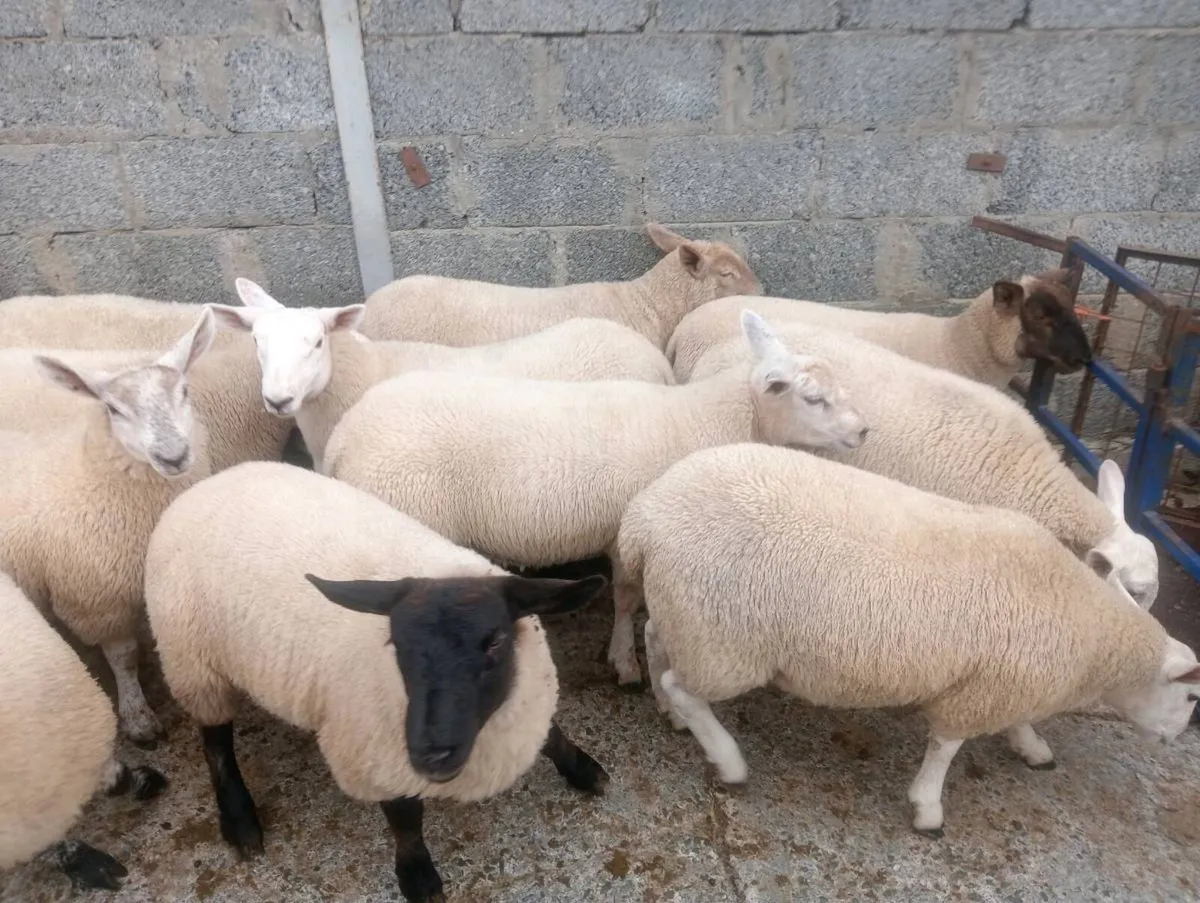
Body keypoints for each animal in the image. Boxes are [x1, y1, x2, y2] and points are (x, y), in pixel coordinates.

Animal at [0, 308, 216, 746]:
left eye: (184, 391)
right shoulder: (93, 599)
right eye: (114, 410)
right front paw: (138, 718)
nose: (173, 456)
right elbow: (124, 658)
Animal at [143, 461, 611, 903]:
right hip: (193, 662)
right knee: (215, 742)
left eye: (496, 640)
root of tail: (208, 484)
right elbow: (404, 820)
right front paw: (417, 876)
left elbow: (552, 735)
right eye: (395, 643)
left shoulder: (529, 701)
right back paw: (240, 821)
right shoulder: (374, 756)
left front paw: (583, 768)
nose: (431, 754)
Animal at [323, 310, 868, 684]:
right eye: (814, 398)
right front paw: (625, 662)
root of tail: (344, 437)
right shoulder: (629, 531)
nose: (864, 430)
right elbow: (627, 599)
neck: (703, 419)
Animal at [616, 442, 1200, 835]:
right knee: (689, 688)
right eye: (1194, 695)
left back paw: (666, 707)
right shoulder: (984, 689)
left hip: (689, 615)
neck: (1090, 629)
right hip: (724, 643)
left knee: (654, 636)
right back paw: (727, 759)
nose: (1176, 738)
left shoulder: (1013, 680)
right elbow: (945, 748)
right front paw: (928, 808)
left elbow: (1016, 724)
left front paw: (1031, 746)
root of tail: (645, 517)